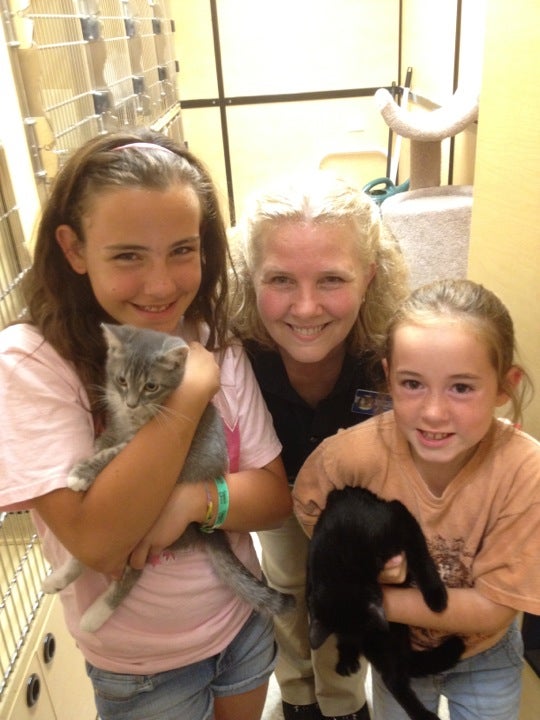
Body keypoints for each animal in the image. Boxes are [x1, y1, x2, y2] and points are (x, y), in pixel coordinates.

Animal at [43, 323, 294, 632]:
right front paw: (93, 455)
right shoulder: (117, 424)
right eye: (122, 380)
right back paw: (57, 579)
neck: (135, 420)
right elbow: (106, 441)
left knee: (130, 572)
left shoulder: (141, 443)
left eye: (151, 386)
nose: (131, 403)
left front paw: (82, 472)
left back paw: (94, 615)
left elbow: (112, 454)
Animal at [306, 486, 464, 720]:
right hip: (383, 645)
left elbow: (420, 557)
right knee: (394, 680)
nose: (360, 638)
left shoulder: (399, 519)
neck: (338, 563)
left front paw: (436, 597)